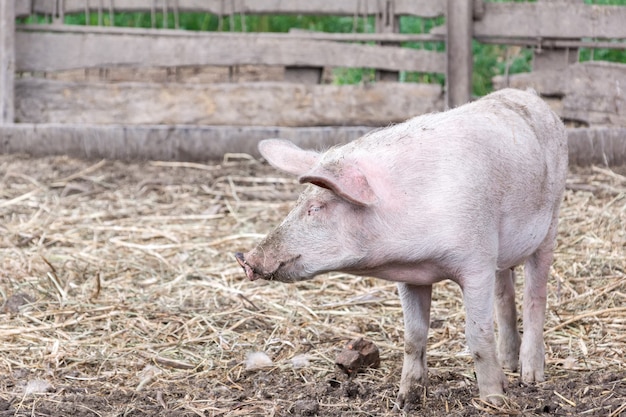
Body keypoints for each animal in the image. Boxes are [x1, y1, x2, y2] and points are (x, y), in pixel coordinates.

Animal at [233, 88, 564, 406]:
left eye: (316, 208)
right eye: (298, 203)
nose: (245, 259)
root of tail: (532, 97)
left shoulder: (477, 261)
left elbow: (478, 335)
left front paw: (494, 399)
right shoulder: (412, 276)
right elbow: (412, 336)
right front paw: (404, 401)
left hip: (550, 222)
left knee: (535, 295)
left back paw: (530, 377)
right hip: (503, 251)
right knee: (505, 292)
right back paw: (509, 364)